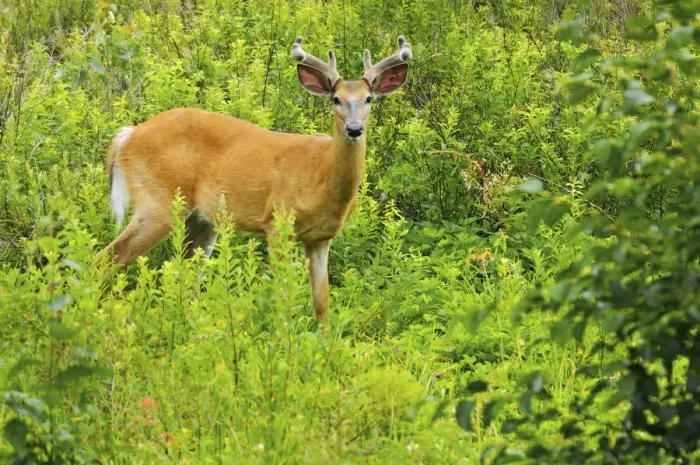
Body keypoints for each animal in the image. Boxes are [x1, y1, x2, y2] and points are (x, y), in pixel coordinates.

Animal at [98, 35, 413, 327]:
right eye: (335, 99)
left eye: (369, 99)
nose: (354, 129)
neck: (319, 174)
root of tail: (127, 135)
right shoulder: (276, 222)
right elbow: (283, 293)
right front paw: (285, 336)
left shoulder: (321, 238)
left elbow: (321, 301)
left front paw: (326, 341)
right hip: (158, 203)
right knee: (107, 258)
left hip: (202, 220)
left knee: (186, 275)